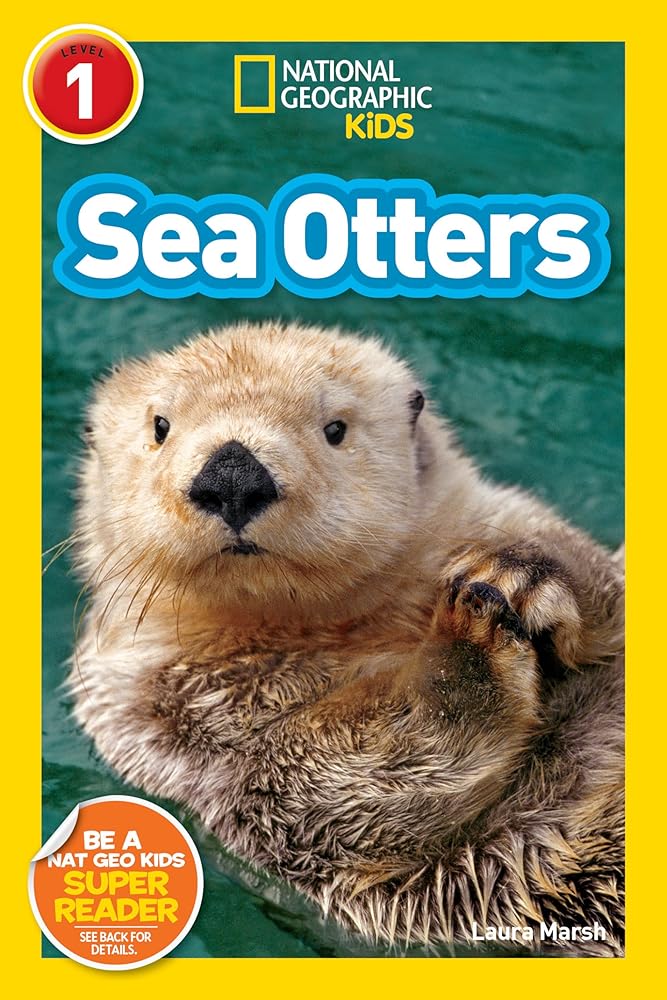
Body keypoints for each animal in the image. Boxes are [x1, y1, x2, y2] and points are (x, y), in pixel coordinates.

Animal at [69, 322, 624, 957]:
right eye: (160, 426)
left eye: (335, 428)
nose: (231, 476)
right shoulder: (168, 720)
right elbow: (333, 779)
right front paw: (469, 641)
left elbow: (604, 579)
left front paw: (520, 573)